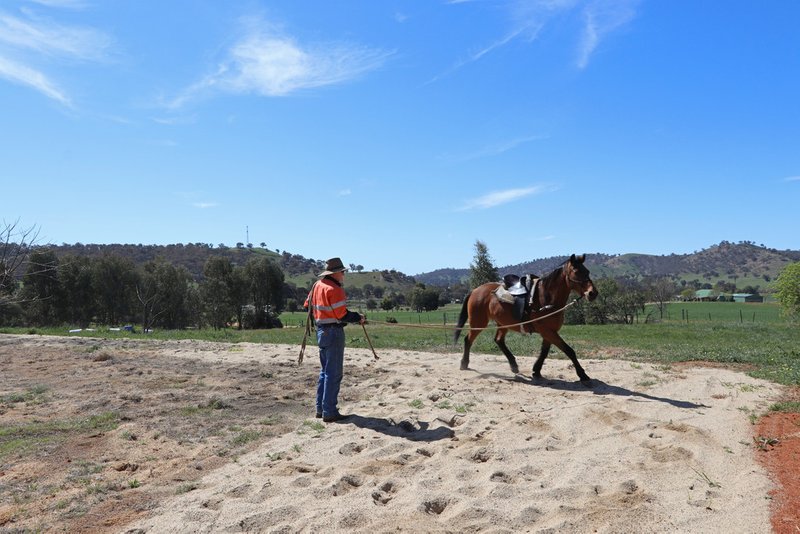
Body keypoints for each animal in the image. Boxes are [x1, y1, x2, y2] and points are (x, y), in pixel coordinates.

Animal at [454, 256, 596, 386]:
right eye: (576, 272)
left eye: (587, 271)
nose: (592, 293)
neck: (546, 298)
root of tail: (475, 290)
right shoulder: (548, 331)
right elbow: (569, 351)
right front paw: (583, 375)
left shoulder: (549, 332)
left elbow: (544, 352)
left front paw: (536, 371)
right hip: (479, 323)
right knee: (468, 339)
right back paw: (464, 363)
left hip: (503, 323)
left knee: (499, 340)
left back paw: (513, 365)